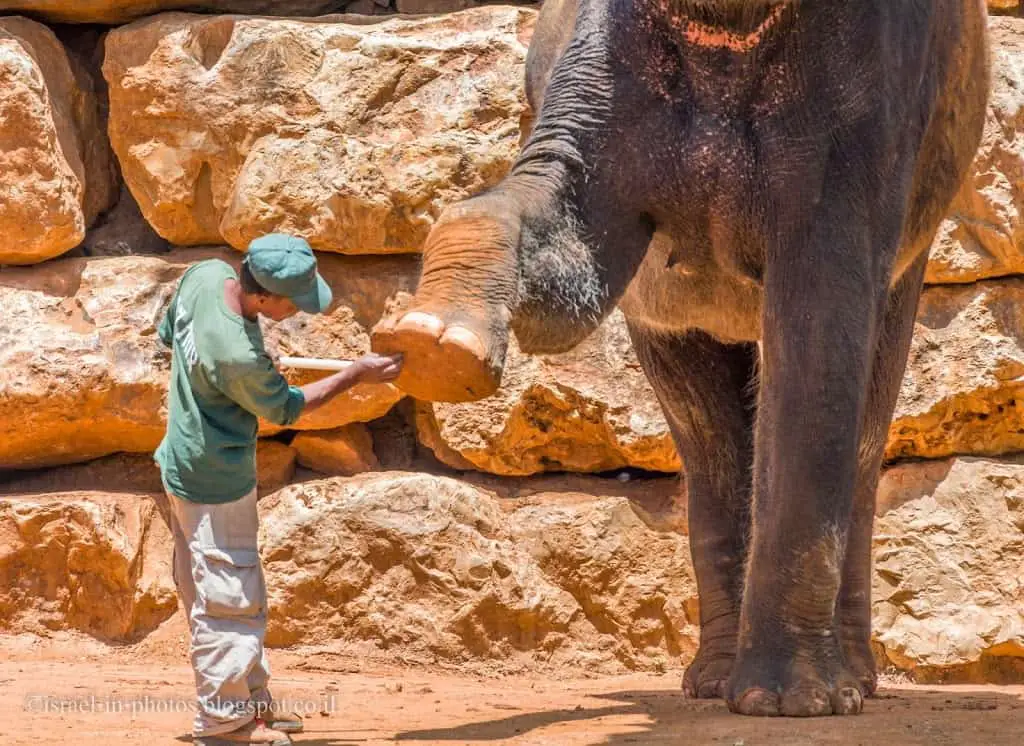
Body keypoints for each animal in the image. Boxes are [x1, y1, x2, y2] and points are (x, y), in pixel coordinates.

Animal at [372, 0, 987, 716]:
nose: (420, 339)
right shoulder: (599, 66)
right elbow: (575, 244)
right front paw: (433, 344)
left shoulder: (873, 96)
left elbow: (821, 320)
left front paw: (791, 704)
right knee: (702, 426)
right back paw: (715, 681)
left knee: (865, 403)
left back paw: (843, 685)